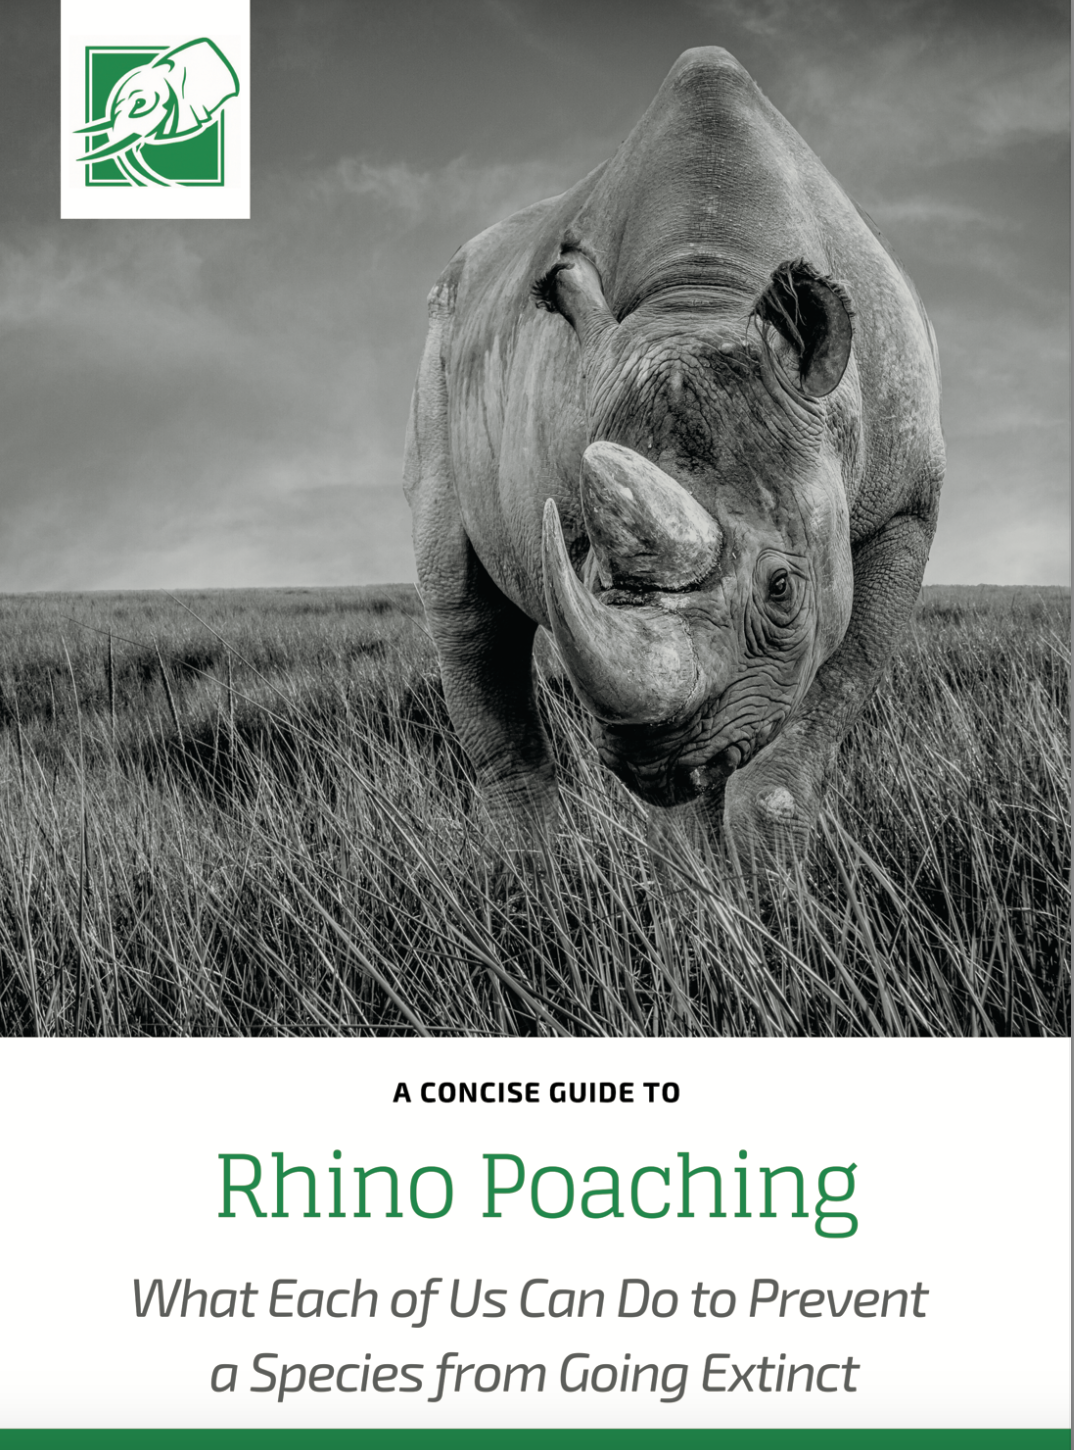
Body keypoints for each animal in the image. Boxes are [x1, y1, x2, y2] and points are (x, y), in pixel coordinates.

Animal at [404, 48, 944, 862]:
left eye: (783, 590)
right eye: (592, 571)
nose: (655, 762)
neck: (706, 291)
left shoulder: (907, 505)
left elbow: (820, 709)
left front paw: (765, 881)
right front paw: (707, 888)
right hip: (437, 349)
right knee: (461, 607)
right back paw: (531, 874)